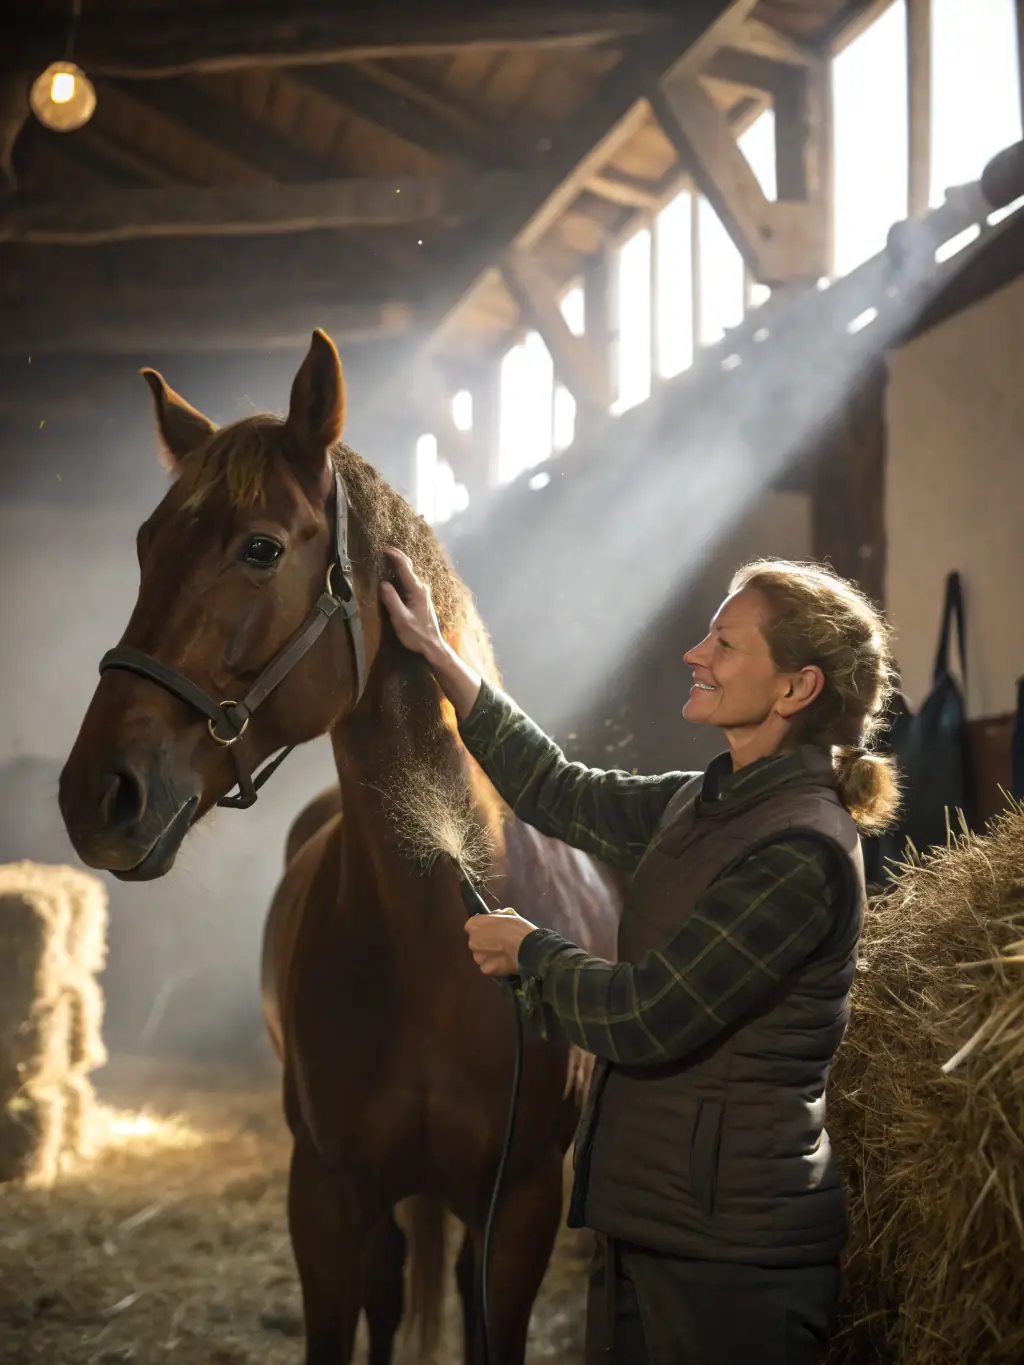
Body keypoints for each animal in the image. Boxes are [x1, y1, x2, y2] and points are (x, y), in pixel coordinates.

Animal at [59, 328, 623, 1365]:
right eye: (147, 545)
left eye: (261, 547)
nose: (95, 794)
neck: (435, 928)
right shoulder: (321, 1195)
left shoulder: (519, 1208)